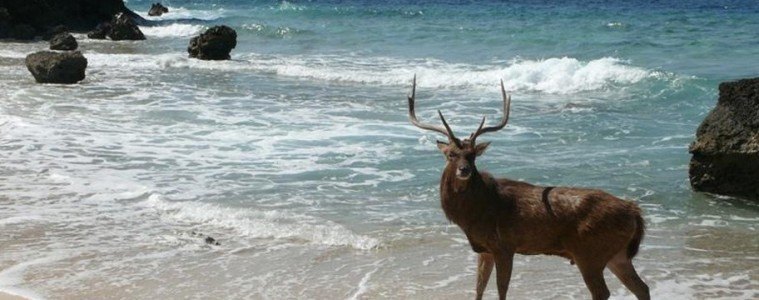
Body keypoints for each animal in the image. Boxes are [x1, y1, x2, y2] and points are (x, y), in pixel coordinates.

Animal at [406, 77, 652, 300]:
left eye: (473, 155)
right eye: (451, 154)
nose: (464, 170)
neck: (475, 214)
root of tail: (635, 212)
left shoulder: (504, 246)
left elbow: (501, 290)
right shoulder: (484, 249)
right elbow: (479, 289)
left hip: (590, 252)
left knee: (603, 292)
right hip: (617, 254)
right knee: (642, 288)